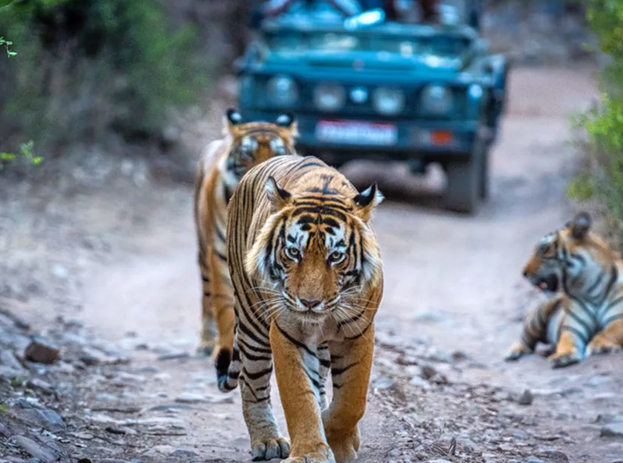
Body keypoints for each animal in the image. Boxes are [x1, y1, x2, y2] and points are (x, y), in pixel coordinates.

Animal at [196, 110, 302, 358]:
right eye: (247, 154)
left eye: (278, 152)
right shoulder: (219, 255)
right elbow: (224, 305)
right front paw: (223, 348)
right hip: (203, 250)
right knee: (207, 295)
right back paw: (206, 342)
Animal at [219, 156, 386, 463]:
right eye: (294, 252)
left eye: (336, 256)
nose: (309, 303)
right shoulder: (288, 332)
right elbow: (299, 396)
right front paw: (311, 451)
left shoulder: (359, 331)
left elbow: (352, 399)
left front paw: (339, 438)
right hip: (251, 320)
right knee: (253, 383)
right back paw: (268, 441)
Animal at [508, 213, 623, 370]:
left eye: (543, 249)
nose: (524, 273)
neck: (589, 288)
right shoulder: (572, 328)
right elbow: (566, 341)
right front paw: (562, 355)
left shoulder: (619, 319)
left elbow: (608, 332)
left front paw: (599, 345)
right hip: (538, 315)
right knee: (526, 339)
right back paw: (514, 352)